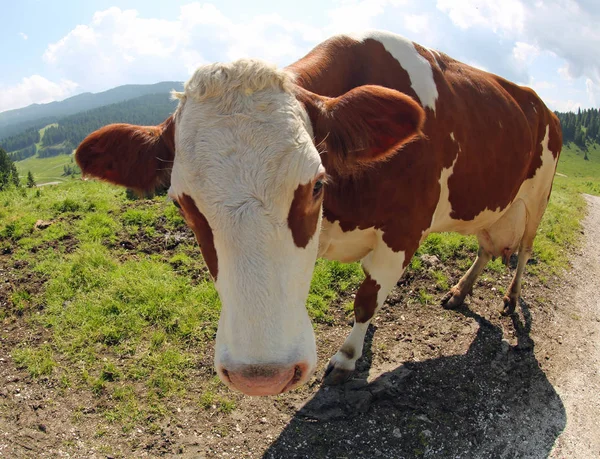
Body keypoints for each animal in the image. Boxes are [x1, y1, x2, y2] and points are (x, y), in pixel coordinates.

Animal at [76, 30, 564, 398]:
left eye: (315, 184)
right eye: (180, 203)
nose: (262, 377)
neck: (338, 214)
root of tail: (540, 103)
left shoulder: (404, 232)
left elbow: (366, 299)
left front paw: (348, 357)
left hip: (539, 195)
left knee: (523, 251)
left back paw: (511, 298)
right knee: (487, 246)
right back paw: (461, 291)